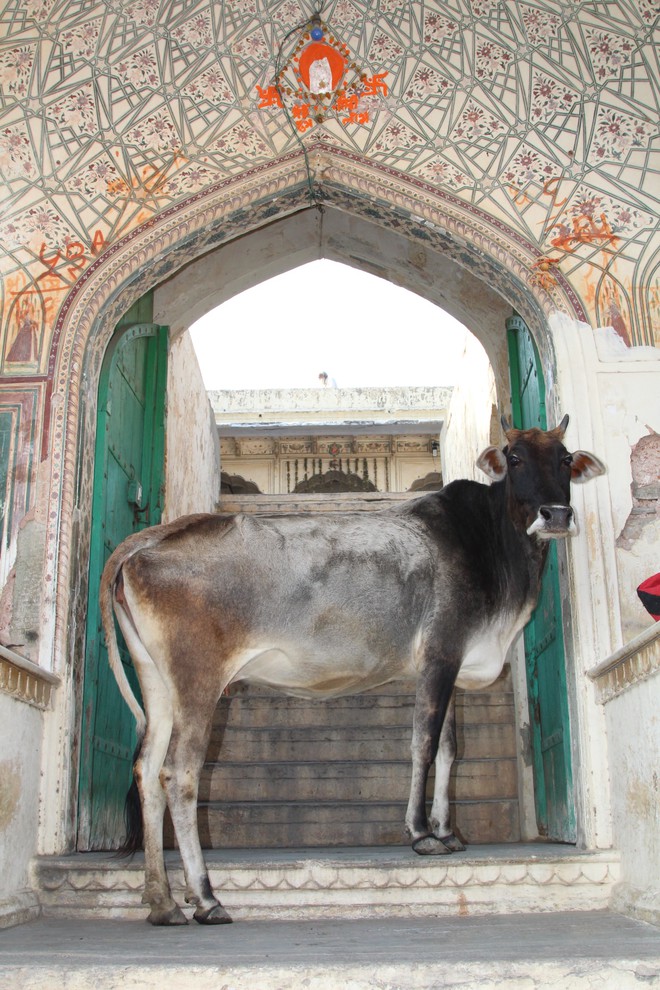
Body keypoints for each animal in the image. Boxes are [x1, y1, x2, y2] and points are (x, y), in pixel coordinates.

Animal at [99, 416, 604, 928]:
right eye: (514, 457)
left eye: (565, 459)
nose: (556, 514)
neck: (493, 549)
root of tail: (153, 536)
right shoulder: (441, 653)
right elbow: (423, 744)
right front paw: (421, 833)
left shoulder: (445, 666)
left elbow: (448, 750)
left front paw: (448, 831)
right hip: (198, 683)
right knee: (179, 774)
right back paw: (205, 897)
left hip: (158, 685)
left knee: (146, 770)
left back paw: (162, 901)